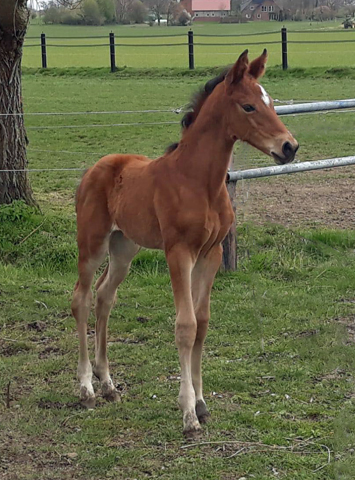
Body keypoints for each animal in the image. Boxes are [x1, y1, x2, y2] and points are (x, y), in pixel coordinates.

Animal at [71, 48, 298, 436]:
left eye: (270, 102)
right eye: (249, 106)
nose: (289, 147)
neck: (199, 181)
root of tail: (94, 169)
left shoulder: (210, 254)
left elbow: (202, 323)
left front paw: (203, 403)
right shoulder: (178, 253)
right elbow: (185, 325)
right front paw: (188, 413)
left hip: (124, 248)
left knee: (104, 296)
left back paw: (108, 384)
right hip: (92, 244)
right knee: (81, 299)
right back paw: (87, 388)